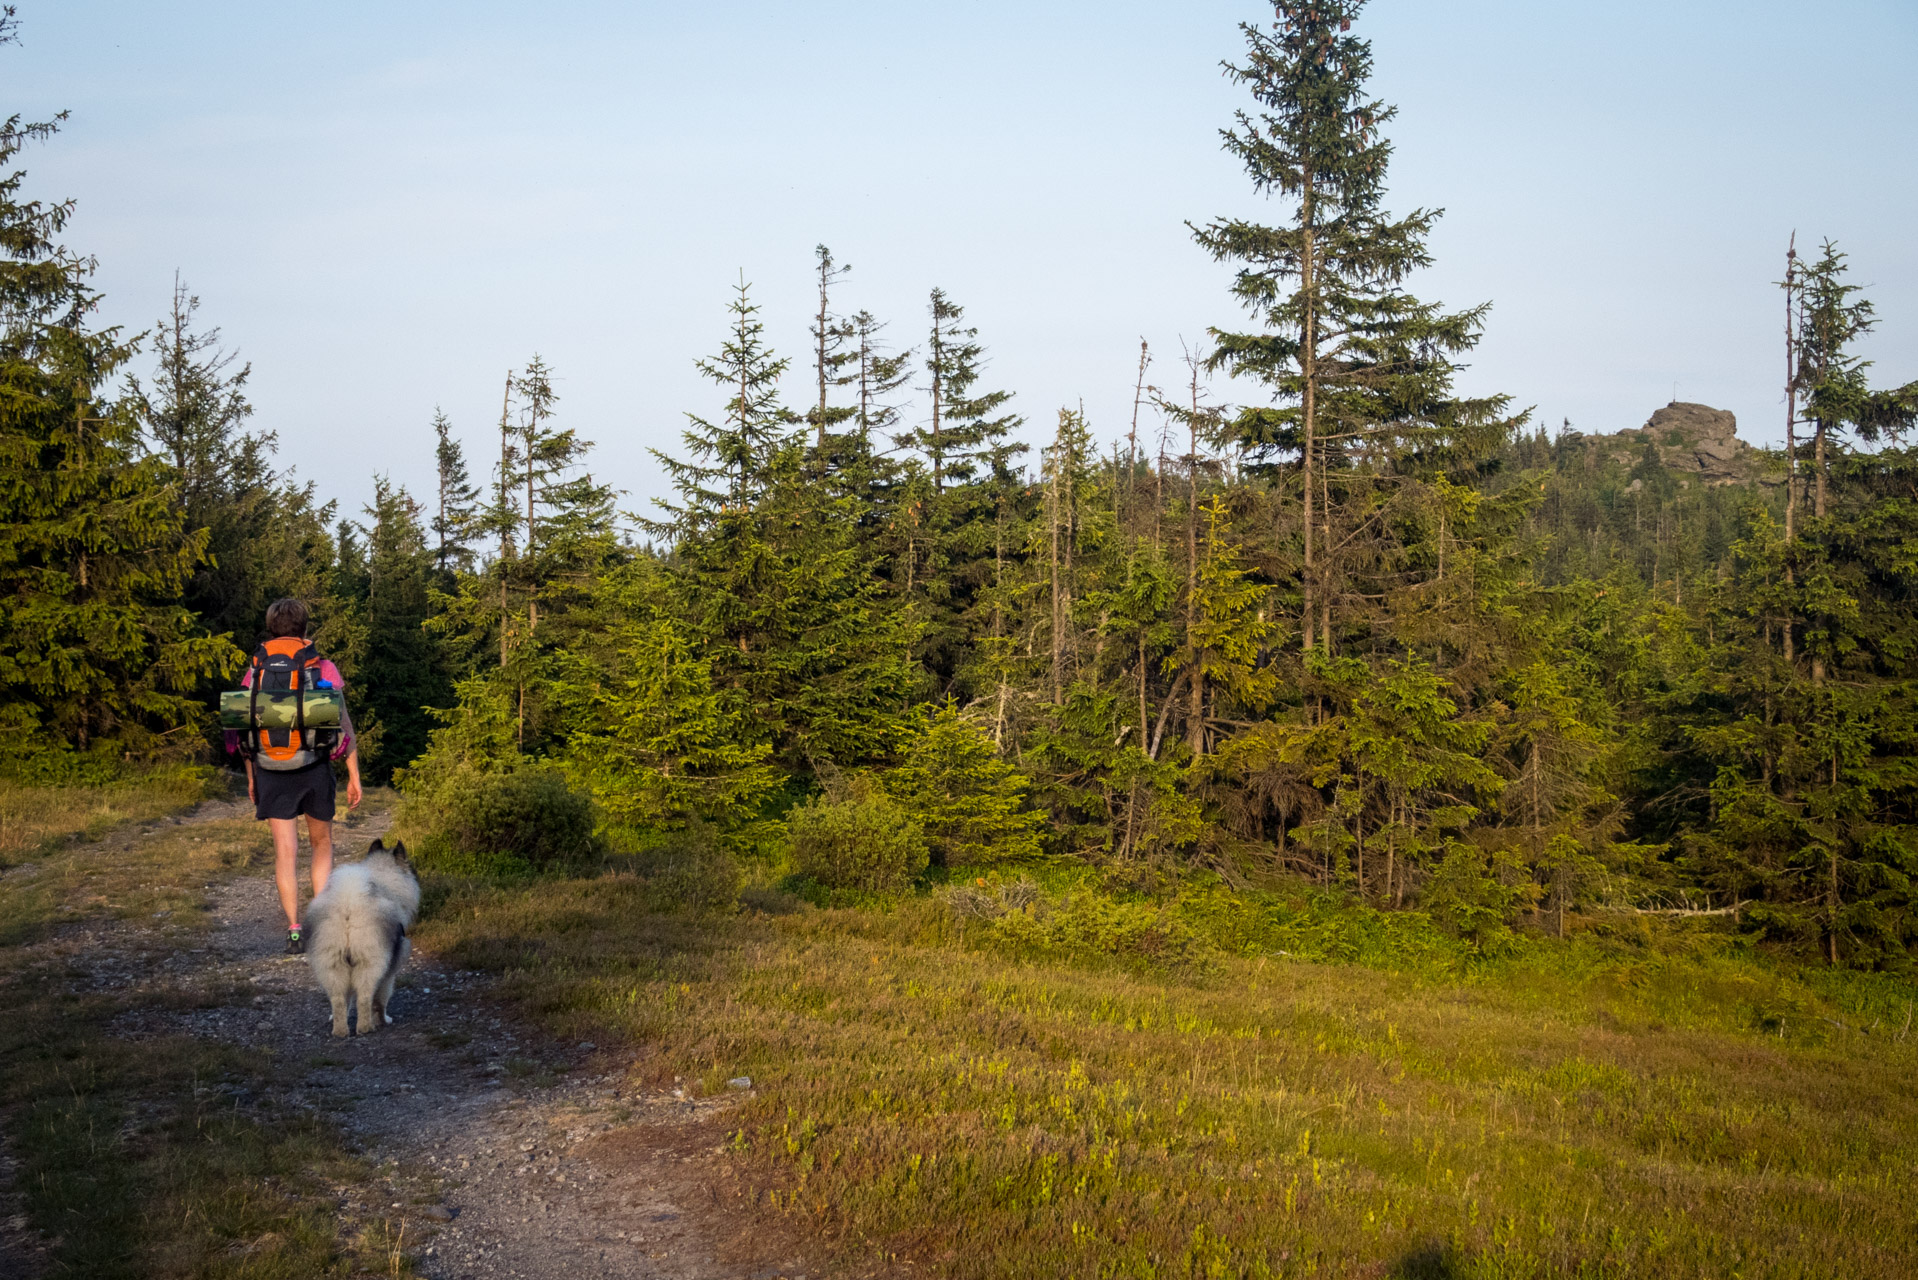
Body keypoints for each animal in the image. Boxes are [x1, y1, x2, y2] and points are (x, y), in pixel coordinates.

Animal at [303, 840, 420, 1043]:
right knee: (364, 998)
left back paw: (340, 1030)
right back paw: (365, 1027)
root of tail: (349, 905)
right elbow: (381, 999)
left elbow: (348, 1000)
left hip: (331, 963)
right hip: (370, 963)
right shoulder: (390, 968)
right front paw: (384, 1019)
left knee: (338, 999)